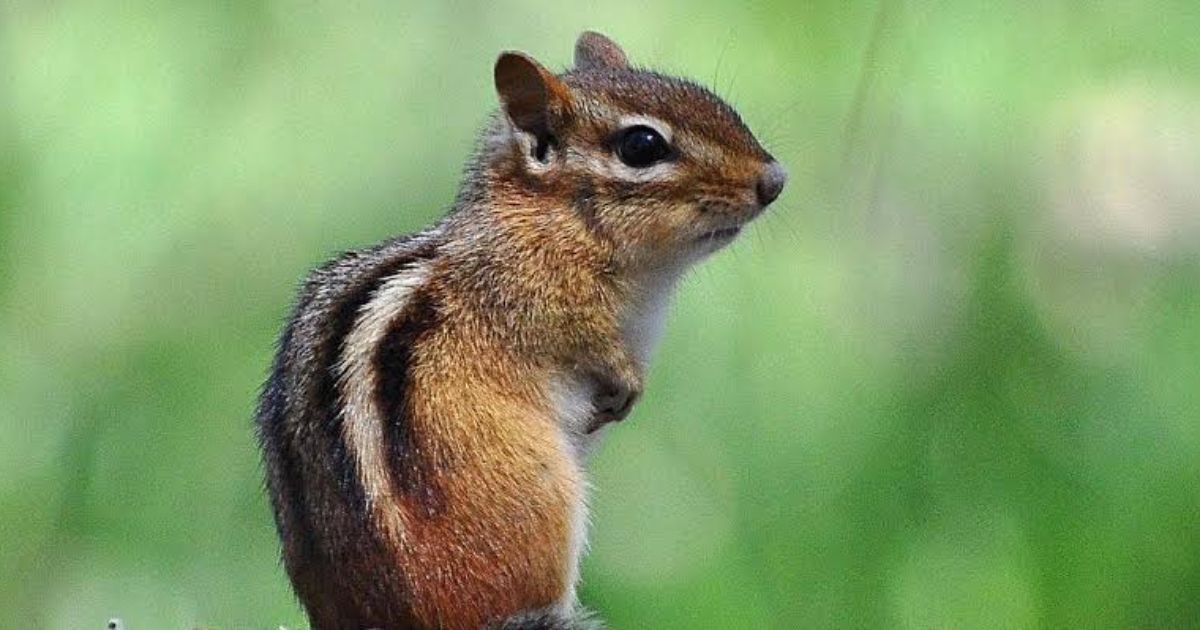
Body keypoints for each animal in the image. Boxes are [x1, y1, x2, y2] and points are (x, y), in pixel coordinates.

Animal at [256, 31, 786, 630]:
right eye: (641, 146)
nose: (774, 180)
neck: (552, 216)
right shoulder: (539, 298)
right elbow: (584, 339)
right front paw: (626, 381)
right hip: (542, 496)